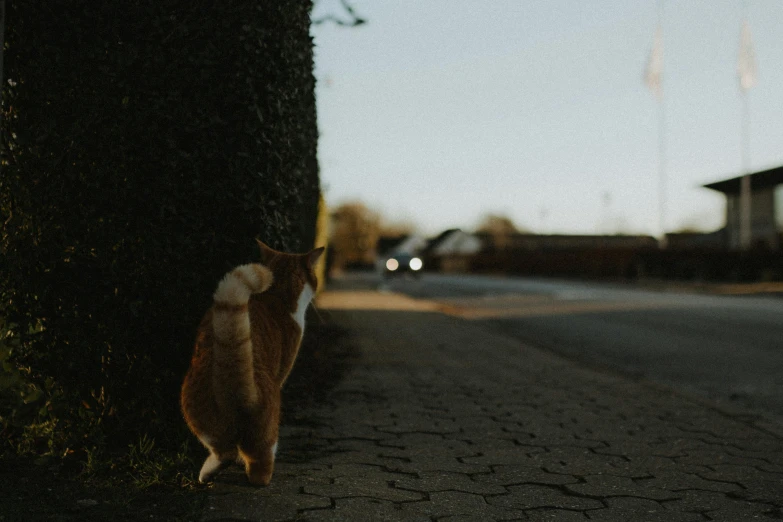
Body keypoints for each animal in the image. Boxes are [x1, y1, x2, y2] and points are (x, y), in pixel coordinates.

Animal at [181, 239, 324, 484]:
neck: (277, 294)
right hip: (267, 425)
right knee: (259, 467)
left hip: (194, 409)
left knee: (224, 451)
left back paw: (207, 473)